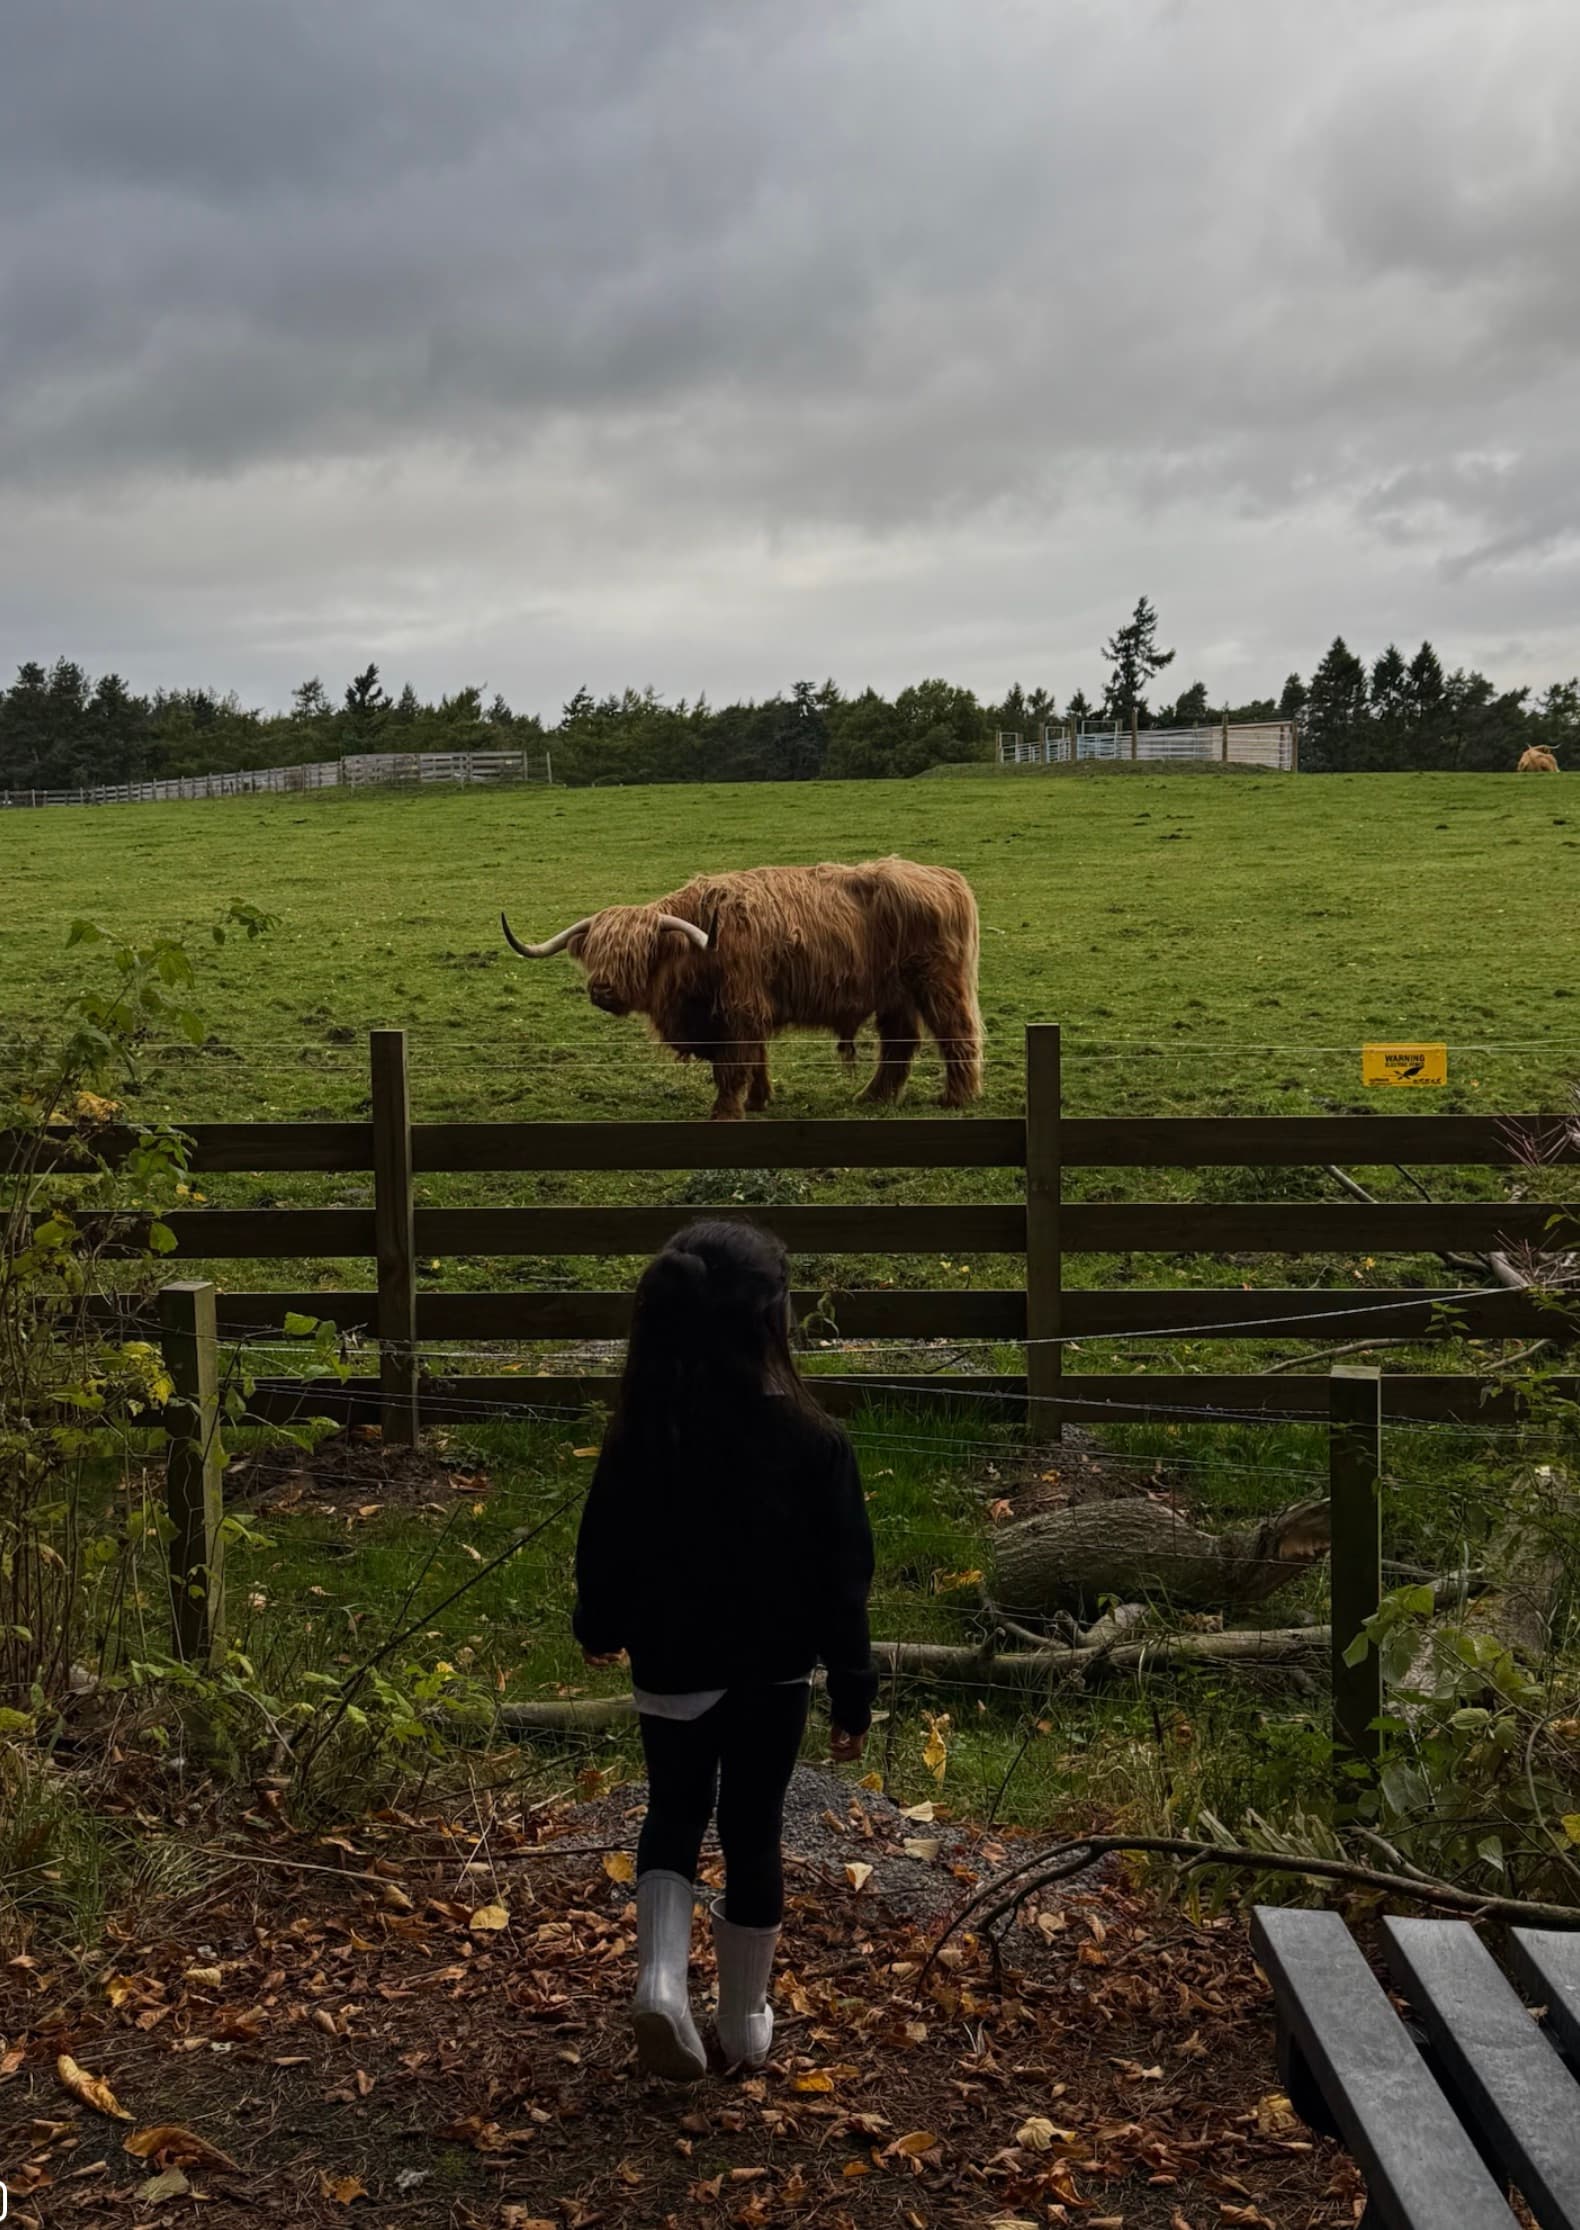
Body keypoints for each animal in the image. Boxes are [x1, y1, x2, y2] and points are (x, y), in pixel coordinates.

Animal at [501, 856, 983, 1120]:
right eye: (596, 953)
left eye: (636, 954)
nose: (602, 989)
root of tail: (946, 876)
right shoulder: (749, 1010)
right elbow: (756, 1060)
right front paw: (758, 1101)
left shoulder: (740, 1008)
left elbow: (733, 1066)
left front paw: (726, 1112)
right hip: (893, 995)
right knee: (899, 1042)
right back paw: (871, 1096)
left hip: (937, 983)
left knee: (956, 1032)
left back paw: (955, 1097)